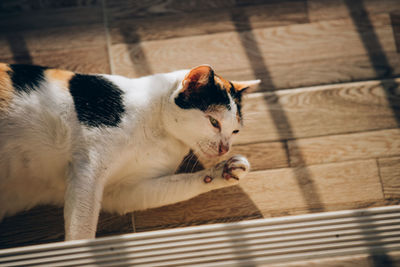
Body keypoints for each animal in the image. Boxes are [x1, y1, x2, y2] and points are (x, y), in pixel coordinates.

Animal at [0, 63, 260, 242]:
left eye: (235, 130)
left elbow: (182, 184)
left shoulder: (123, 192)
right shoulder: (88, 168)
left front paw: (226, 171)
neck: (160, 132)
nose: (225, 148)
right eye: (214, 122)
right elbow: (82, 227)